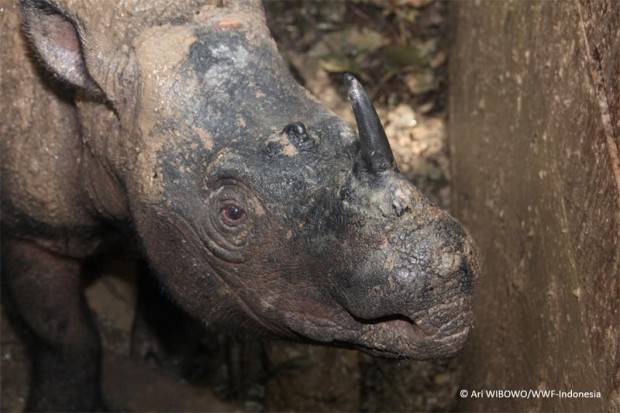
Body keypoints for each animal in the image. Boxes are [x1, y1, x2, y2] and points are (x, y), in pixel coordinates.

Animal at [0, 0, 480, 408]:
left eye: (346, 136)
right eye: (232, 214)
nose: (445, 296)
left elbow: (166, 282)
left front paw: (164, 365)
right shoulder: (31, 231)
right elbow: (64, 333)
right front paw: (63, 403)